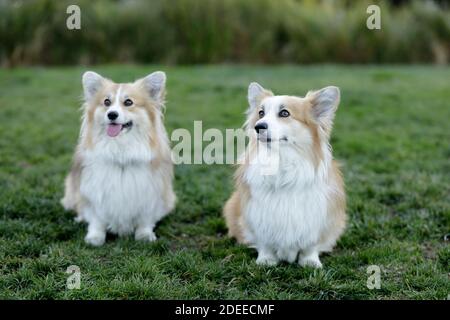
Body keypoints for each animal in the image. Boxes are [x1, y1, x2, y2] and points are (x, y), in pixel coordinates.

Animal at [61, 71, 176, 246]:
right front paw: (95, 237)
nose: (112, 114)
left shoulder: (149, 191)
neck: (120, 149)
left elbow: (145, 219)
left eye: (128, 102)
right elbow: (96, 219)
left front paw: (144, 235)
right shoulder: (94, 191)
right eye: (106, 102)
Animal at [223, 82, 346, 268]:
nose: (258, 126)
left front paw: (310, 261)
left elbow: (310, 244)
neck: (280, 160)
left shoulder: (316, 216)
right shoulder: (258, 214)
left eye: (284, 113)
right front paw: (266, 259)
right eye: (261, 113)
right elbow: (264, 241)